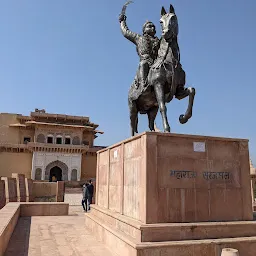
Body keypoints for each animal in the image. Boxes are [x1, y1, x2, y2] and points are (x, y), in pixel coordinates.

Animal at [127, 4, 195, 136]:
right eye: (161, 21)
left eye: (173, 18)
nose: (166, 33)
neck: (171, 62)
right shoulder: (159, 85)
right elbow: (163, 107)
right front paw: (167, 129)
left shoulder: (178, 90)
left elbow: (191, 90)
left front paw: (183, 118)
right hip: (132, 107)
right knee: (132, 123)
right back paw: (132, 137)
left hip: (152, 109)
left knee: (150, 123)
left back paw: (152, 131)